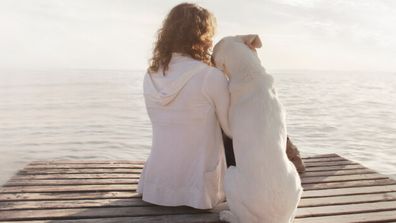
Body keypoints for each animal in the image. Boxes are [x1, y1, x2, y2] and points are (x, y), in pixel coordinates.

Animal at [213, 34, 304, 223]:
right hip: (296, 180)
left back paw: (227, 215)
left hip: (229, 176)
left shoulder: (229, 127)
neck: (249, 72)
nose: (209, 55)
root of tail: (275, 220)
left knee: (241, 219)